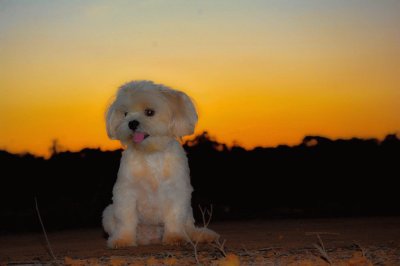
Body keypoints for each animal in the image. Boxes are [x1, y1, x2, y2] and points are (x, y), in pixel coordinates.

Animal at [101, 80, 217, 248]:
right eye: (125, 114)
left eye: (149, 112)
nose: (132, 123)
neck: (151, 153)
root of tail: (152, 237)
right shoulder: (126, 192)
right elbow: (126, 220)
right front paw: (123, 239)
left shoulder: (176, 192)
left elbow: (174, 218)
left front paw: (175, 237)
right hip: (108, 212)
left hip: (188, 212)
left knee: (189, 228)